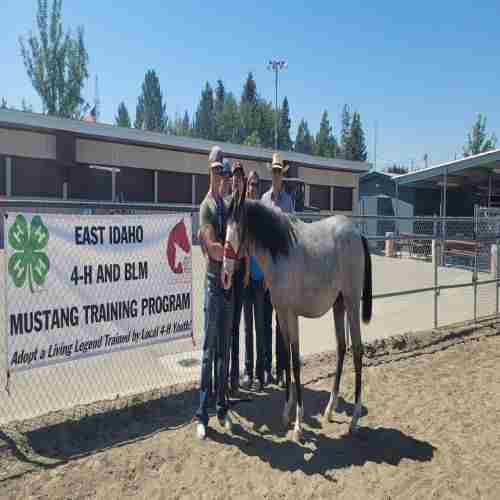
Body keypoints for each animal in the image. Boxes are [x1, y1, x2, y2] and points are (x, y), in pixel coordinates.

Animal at [222, 189, 372, 440]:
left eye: (238, 229)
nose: (225, 275)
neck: (280, 254)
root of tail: (357, 233)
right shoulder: (282, 314)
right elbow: (286, 358)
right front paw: (286, 414)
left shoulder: (292, 315)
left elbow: (295, 361)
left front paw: (298, 425)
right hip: (339, 304)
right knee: (342, 347)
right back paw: (329, 410)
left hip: (352, 302)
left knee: (358, 351)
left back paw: (354, 420)